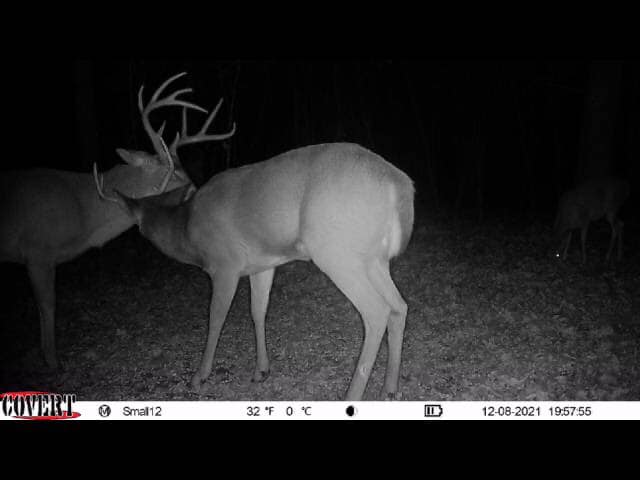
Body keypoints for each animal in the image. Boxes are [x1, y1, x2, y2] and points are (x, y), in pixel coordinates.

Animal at [0, 72, 235, 369]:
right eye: (171, 172)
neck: (82, 210)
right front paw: (53, 361)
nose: (199, 191)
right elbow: (48, 304)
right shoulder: (37, 249)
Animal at [94, 130, 415, 401]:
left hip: (336, 251)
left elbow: (216, 317)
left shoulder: (224, 263)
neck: (187, 230)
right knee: (399, 306)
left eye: (137, 225)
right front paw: (261, 370)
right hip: (373, 259)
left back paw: (353, 395)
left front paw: (199, 376)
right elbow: (257, 311)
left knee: (377, 311)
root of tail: (400, 186)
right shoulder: (263, 264)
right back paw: (390, 388)